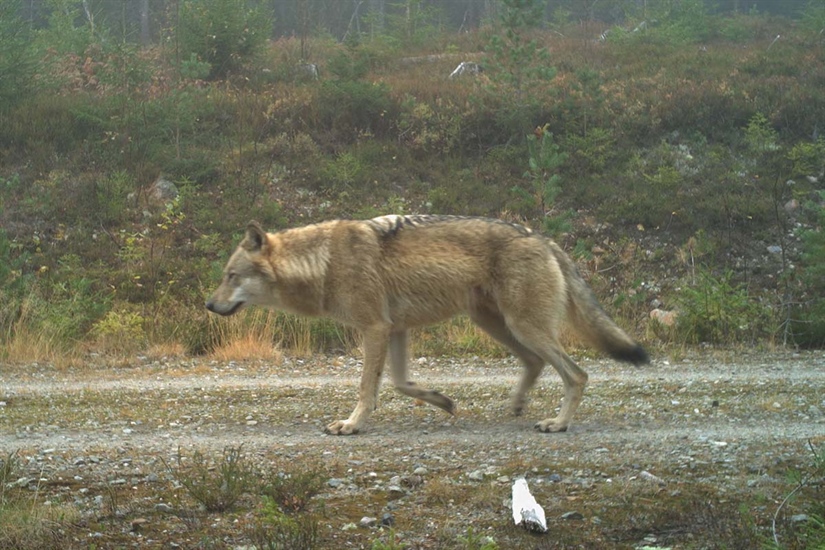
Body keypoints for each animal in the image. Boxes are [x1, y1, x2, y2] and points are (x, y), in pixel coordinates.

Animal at [206, 216, 652, 436]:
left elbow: (368, 388)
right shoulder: (395, 329)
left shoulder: (375, 328)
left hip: (523, 326)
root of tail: (545, 240)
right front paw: (443, 401)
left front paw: (351, 425)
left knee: (576, 374)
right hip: (497, 324)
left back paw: (558, 424)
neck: (324, 262)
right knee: (536, 364)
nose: (209, 305)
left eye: (231, 276)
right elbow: (401, 383)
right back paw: (517, 405)